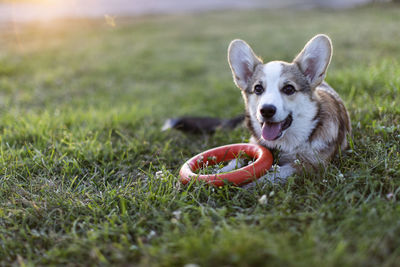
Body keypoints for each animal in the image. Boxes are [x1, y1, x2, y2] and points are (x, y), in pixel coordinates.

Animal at [164, 34, 352, 184]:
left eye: (289, 89)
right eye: (258, 89)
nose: (266, 110)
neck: (284, 144)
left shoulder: (309, 165)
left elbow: (273, 175)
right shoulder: (253, 146)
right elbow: (235, 161)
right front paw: (216, 173)